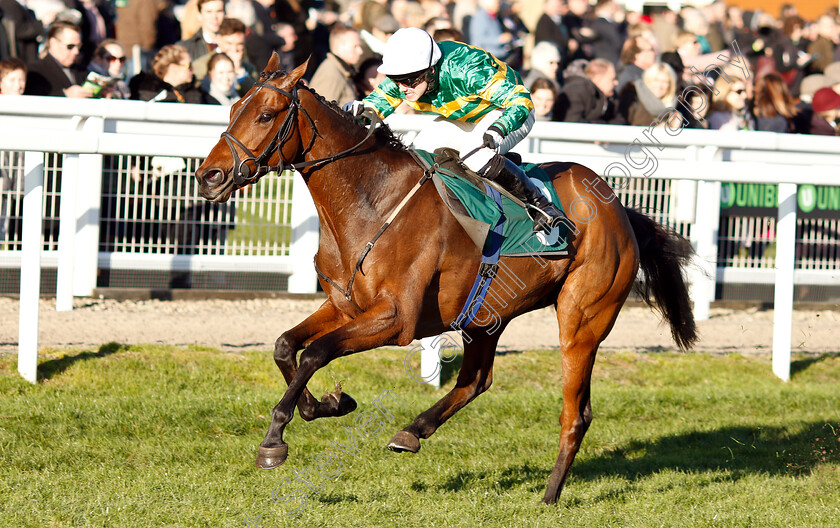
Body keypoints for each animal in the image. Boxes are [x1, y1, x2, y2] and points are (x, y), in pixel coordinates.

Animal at [195, 55, 696, 506]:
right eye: (233, 107)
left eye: (265, 114)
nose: (208, 176)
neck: (374, 202)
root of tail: (620, 208)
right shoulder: (343, 306)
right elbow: (285, 345)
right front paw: (327, 405)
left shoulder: (395, 320)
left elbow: (315, 353)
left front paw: (275, 439)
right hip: (486, 314)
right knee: (476, 380)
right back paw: (411, 432)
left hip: (582, 319)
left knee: (576, 413)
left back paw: (550, 494)